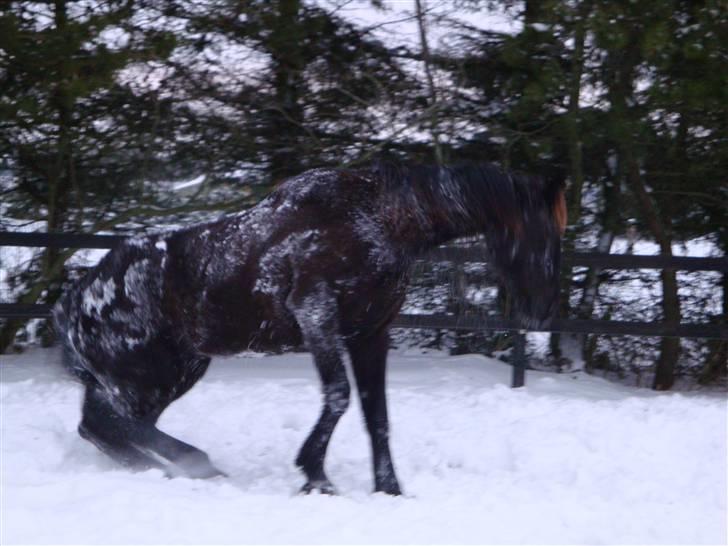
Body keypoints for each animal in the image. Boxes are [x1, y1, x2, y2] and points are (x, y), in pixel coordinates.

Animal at [54, 160, 564, 492]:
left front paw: (389, 488)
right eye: (538, 234)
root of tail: (73, 301)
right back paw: (197, 465)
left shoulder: (371, 334)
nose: (540, 311)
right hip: (150, 376)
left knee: (103, 427)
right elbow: (338, 395)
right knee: (110, 425)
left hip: (169, 372)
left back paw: (175, 468)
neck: (378, 222)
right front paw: (315, 474)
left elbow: (377, 416)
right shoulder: (317, 313)